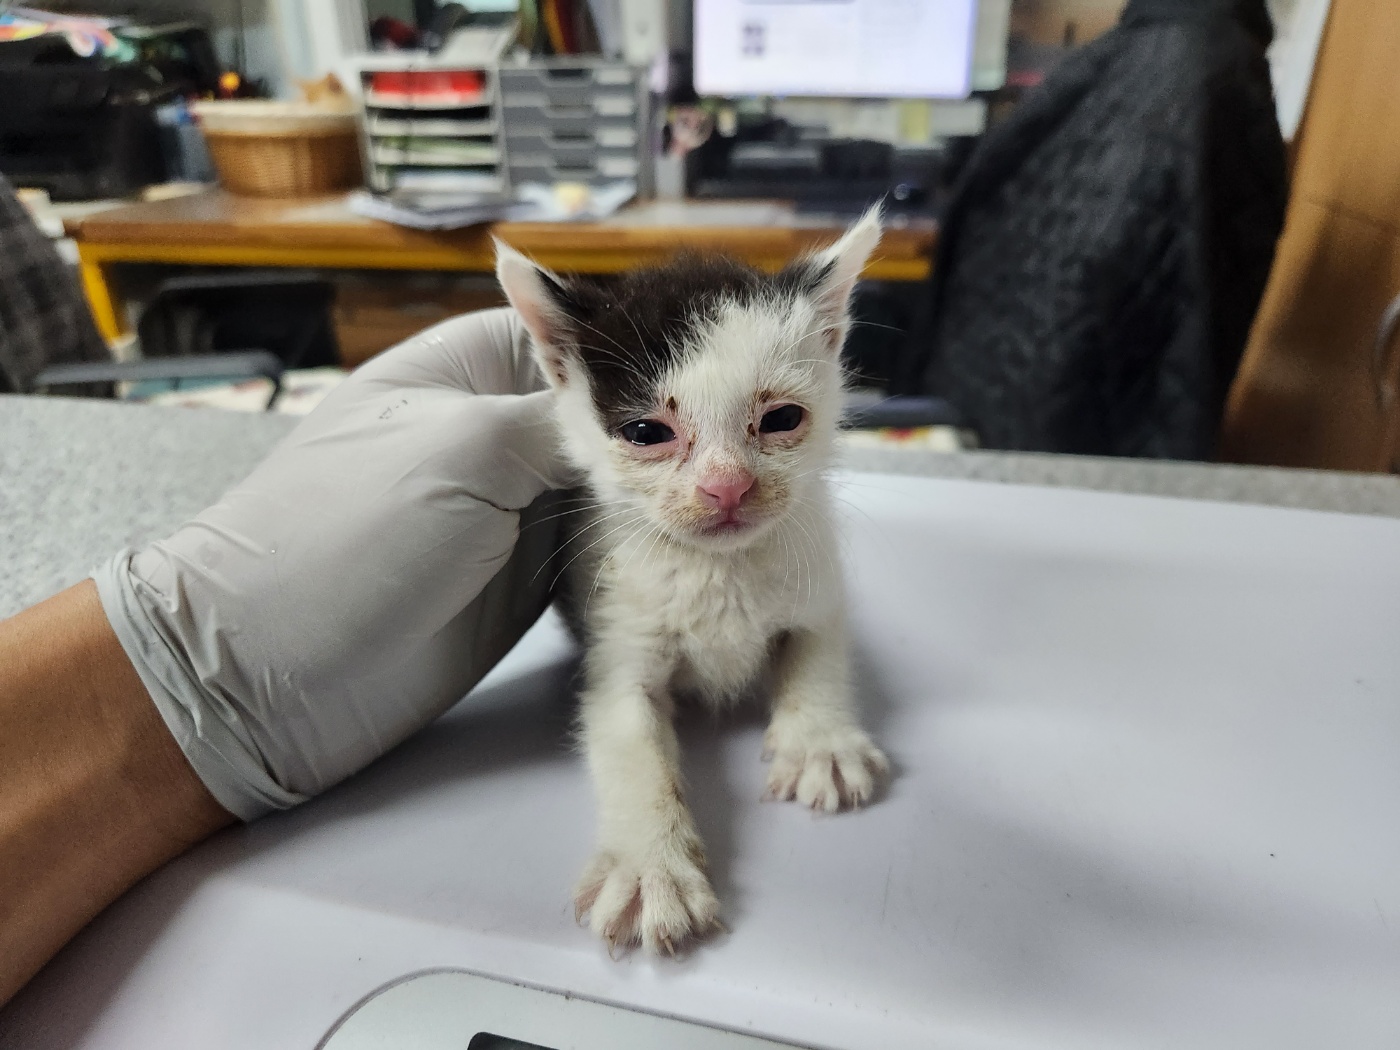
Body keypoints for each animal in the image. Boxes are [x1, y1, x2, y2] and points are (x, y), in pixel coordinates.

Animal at [495, 210, 884, 957]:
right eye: (648, 431)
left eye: (781, 419)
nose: (727, 485)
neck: (718, 567)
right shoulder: (617, 640)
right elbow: (631, 742)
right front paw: (650, 867)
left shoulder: (816, 578)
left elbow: (818, 649)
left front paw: (819, 741)